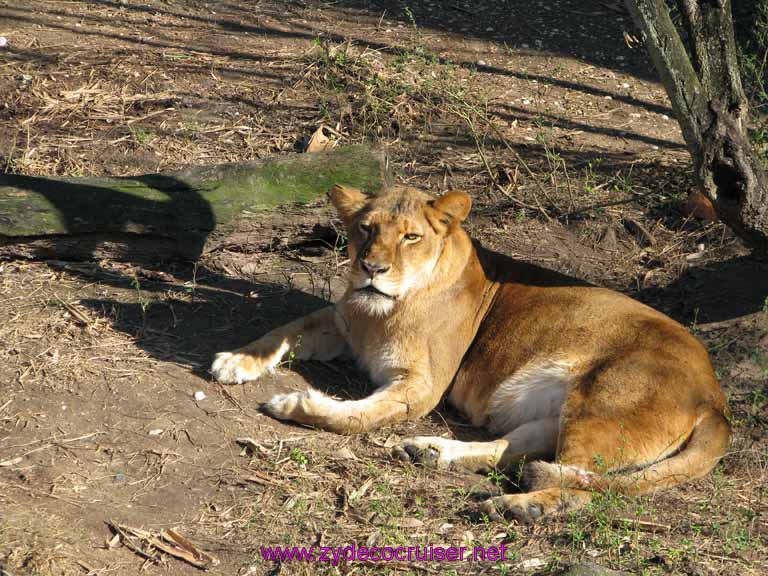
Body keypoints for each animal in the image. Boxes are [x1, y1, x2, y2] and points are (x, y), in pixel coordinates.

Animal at [211, 184, 730, 522]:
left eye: (411, 237)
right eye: (365, 229)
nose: (371, 268)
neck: (381, 311)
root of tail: (716, 397)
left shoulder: (420, 387)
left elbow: (355, 416)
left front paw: (295, 404)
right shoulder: (340, 322)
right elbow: (283, 329)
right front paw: (237, 360)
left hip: (601, 406)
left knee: (582, 484)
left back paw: (520, 507)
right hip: (557, 413)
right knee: (513, 450)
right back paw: (431, 452)